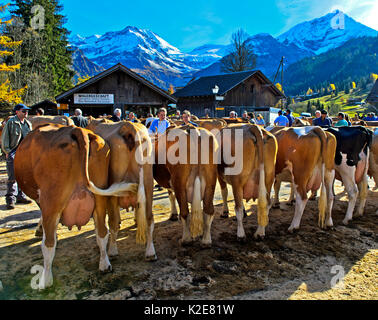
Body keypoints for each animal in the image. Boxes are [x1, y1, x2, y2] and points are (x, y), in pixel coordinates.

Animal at [14, 124, 142, 288]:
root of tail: (76, 130)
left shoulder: (42, 200)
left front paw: (40, 229)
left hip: (52, 200)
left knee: (48, 244)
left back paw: (46, 281)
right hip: (99, 198)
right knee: (102, 231)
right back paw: (105, 264)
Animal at [86, 119, 156, 260]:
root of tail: (129, 126)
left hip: (115, 190)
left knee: (112, 223)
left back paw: (112, 251)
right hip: (148, 183)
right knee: (149, 218)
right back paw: (150, 252)